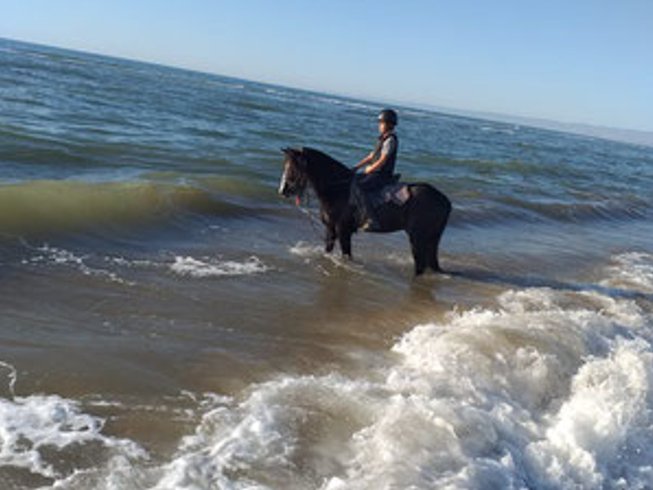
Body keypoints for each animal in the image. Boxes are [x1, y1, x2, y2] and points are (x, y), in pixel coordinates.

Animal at [278, 147, 450, 274]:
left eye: (292, 168)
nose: (283, 190)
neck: (338, 190)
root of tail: (444, 201)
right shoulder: (331, 229)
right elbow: (328, 250)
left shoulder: (343, 231)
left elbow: (346, 254)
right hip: (430, 239)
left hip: (417, 238)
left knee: (420, 265)